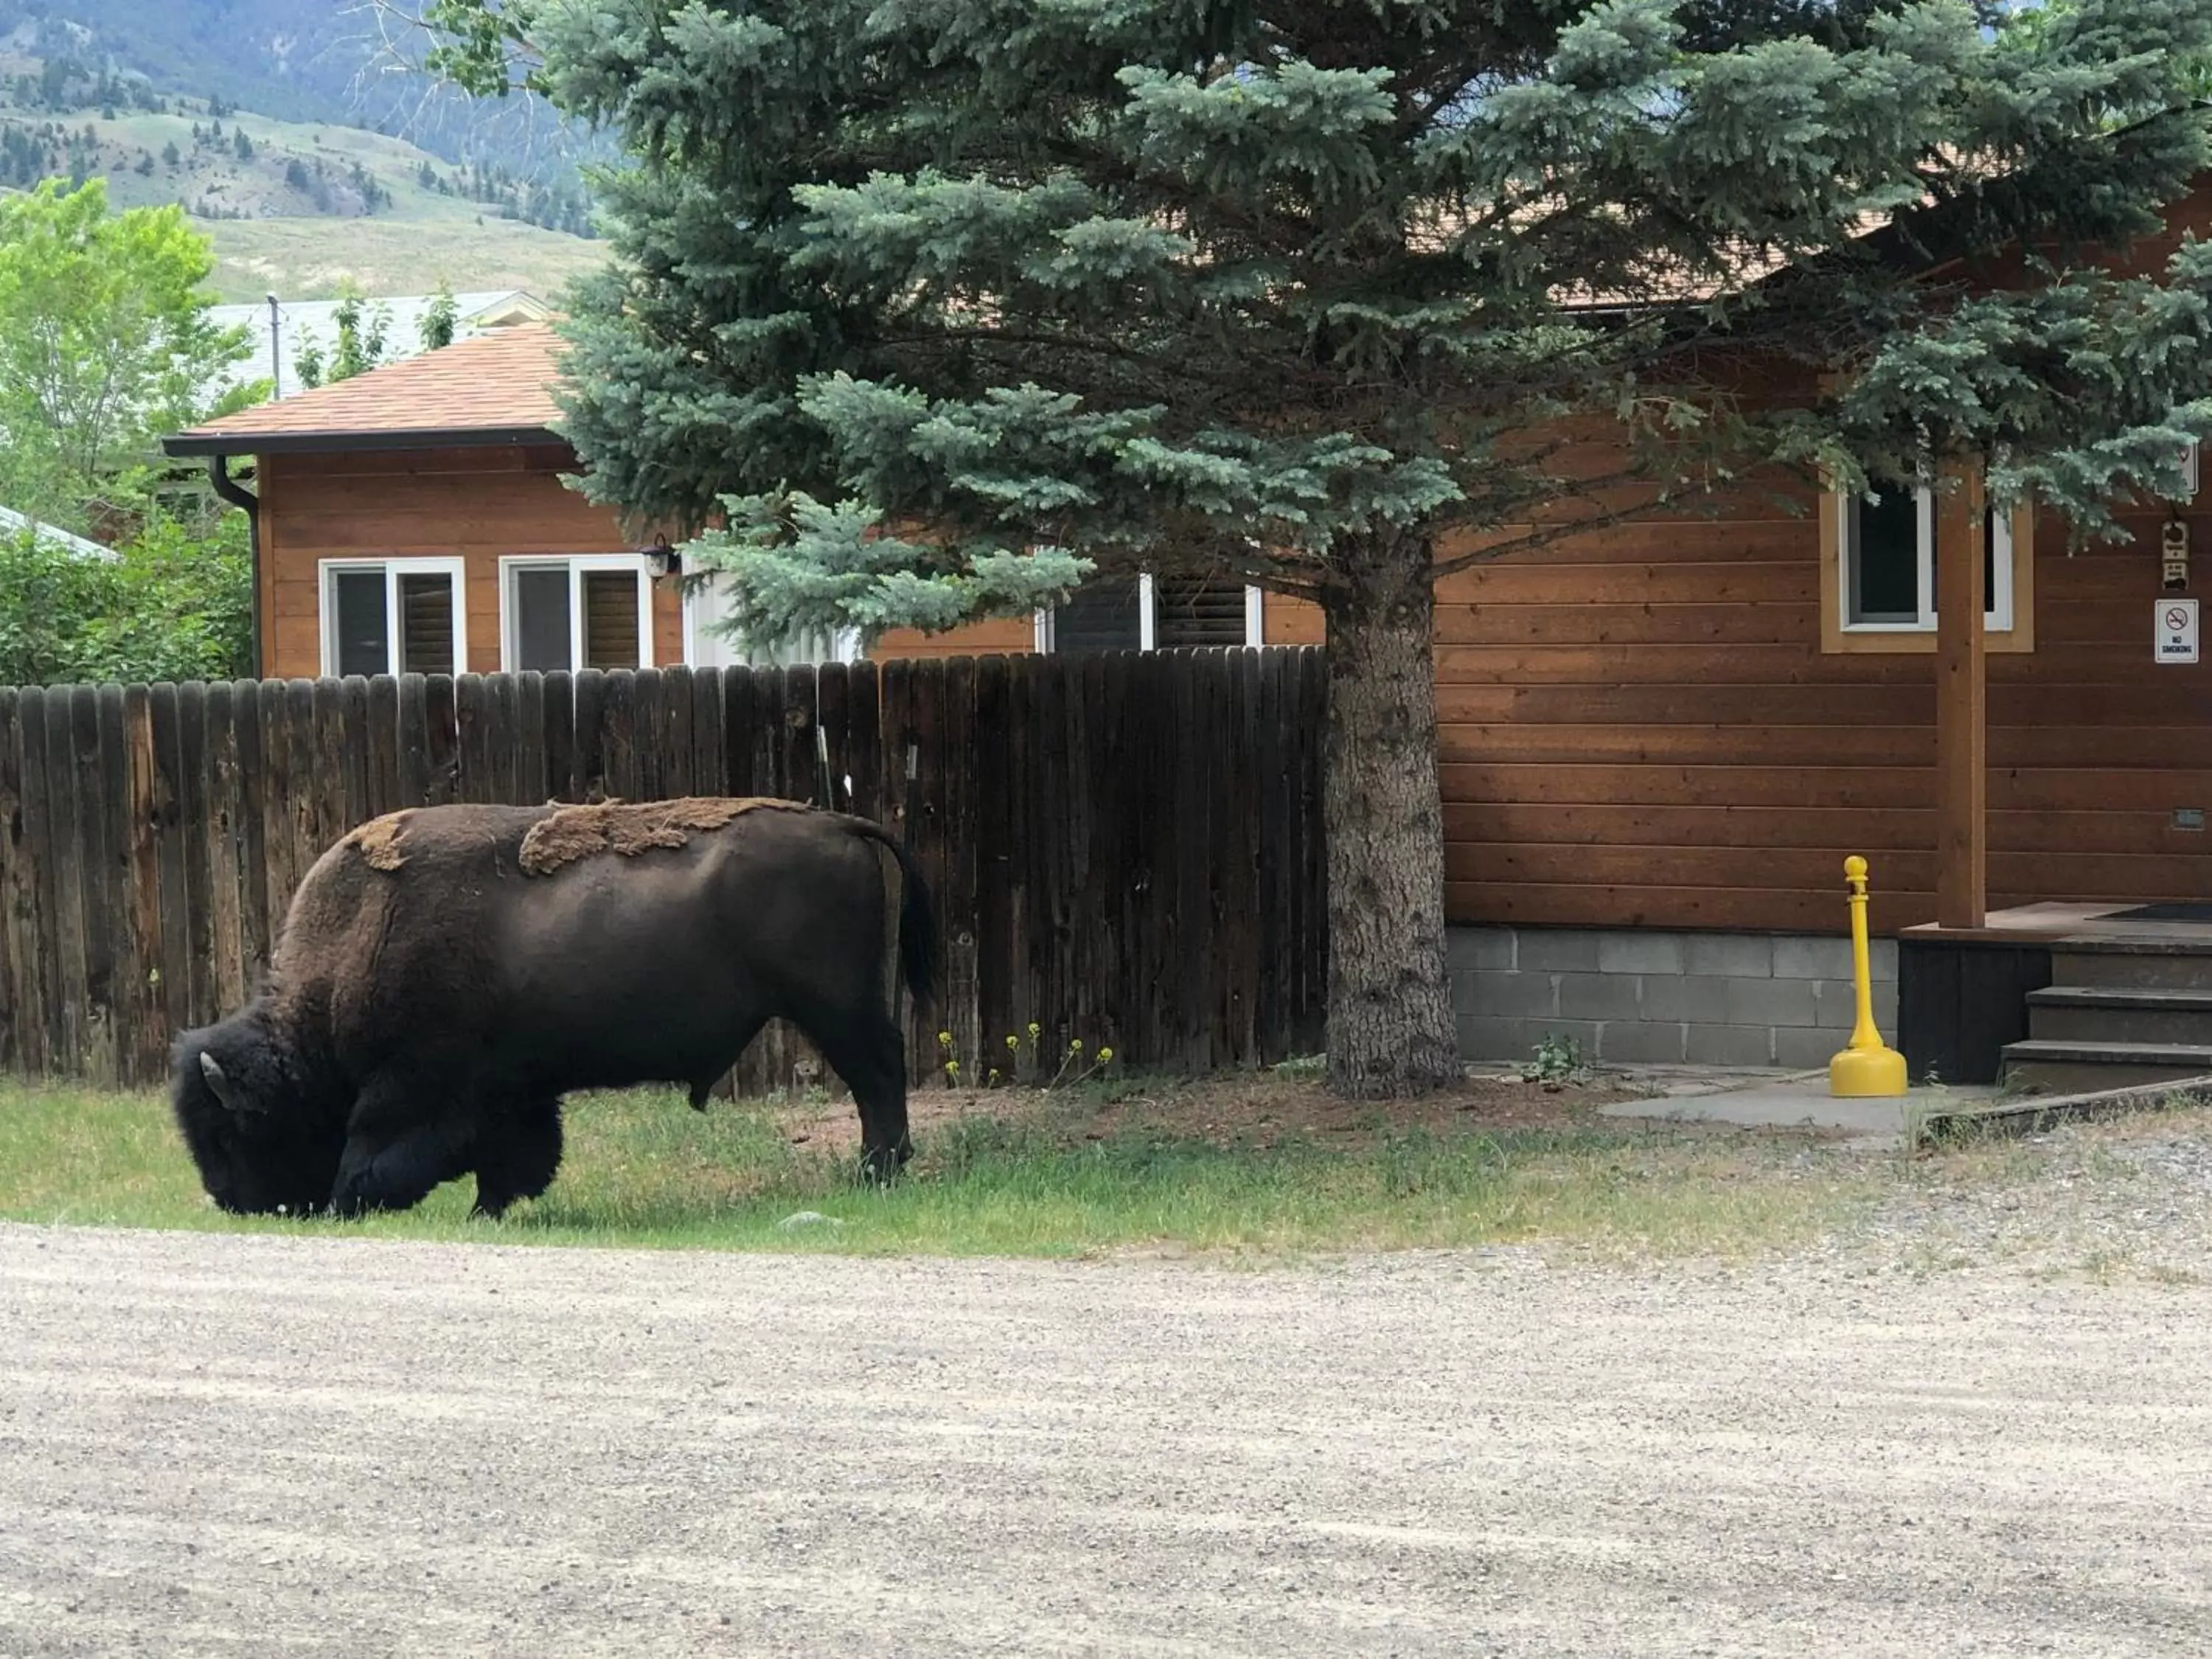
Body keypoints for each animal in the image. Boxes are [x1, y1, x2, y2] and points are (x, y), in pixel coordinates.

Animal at [170, 805, 933, 1221]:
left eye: (232, 1133)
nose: (234, 1202)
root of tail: (838, 822)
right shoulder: (510, 1090)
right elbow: (516, 1156)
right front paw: (489, 1211)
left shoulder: (413, 1087)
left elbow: (375, 1151)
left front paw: (348, 1201)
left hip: (835, 1006)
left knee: (878, 1077)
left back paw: (877, 1173)